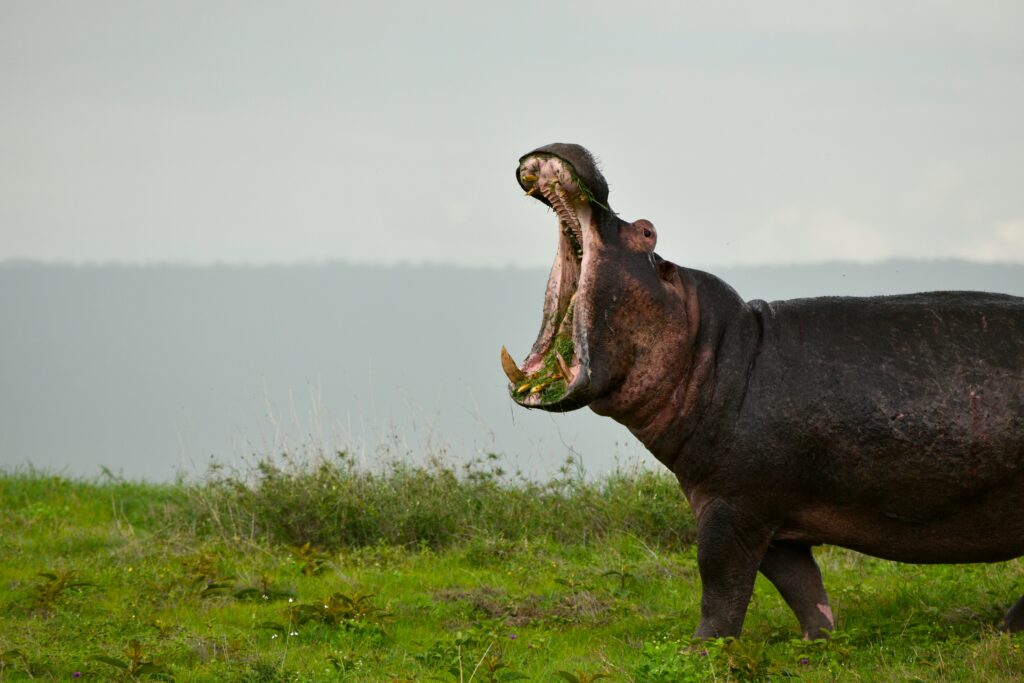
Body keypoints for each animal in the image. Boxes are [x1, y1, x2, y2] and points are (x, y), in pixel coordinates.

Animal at [500, 143, 1024, 639]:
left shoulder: (732, 507)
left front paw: (702, 648)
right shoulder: (771, 518)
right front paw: (817, 641)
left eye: (647, 231)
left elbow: (719, 582)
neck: (708, 350)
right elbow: (800, 585)